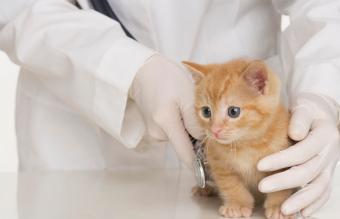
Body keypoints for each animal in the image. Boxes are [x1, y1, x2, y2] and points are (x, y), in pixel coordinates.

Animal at [183, 59, 294, 219]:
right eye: (206, 111)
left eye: (233, 111)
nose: (215, 130)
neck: (245, 144)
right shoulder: (218, 162)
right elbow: (230, 184)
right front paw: (237, 205)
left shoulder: (281, 157)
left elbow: (281, 182)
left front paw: (279, 206)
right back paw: (205, 189)